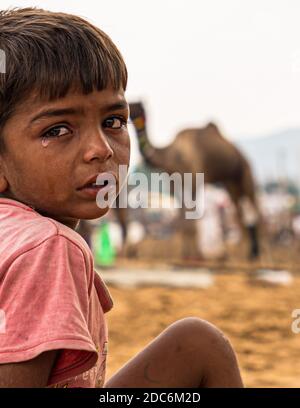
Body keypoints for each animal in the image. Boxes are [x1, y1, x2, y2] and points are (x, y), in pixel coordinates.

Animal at [129, 103, 260, 260]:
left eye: (138, 108)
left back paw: (255, 254)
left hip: (246, 173)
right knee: (240, 212)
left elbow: (191, 217)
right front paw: (185, 254)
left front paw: (196, 255)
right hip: (231, 183)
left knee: (255, 209)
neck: (173, 154)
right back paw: (244, 254)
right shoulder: (174, 182)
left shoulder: (194, 179)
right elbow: (182, 217)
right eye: (131, 106)